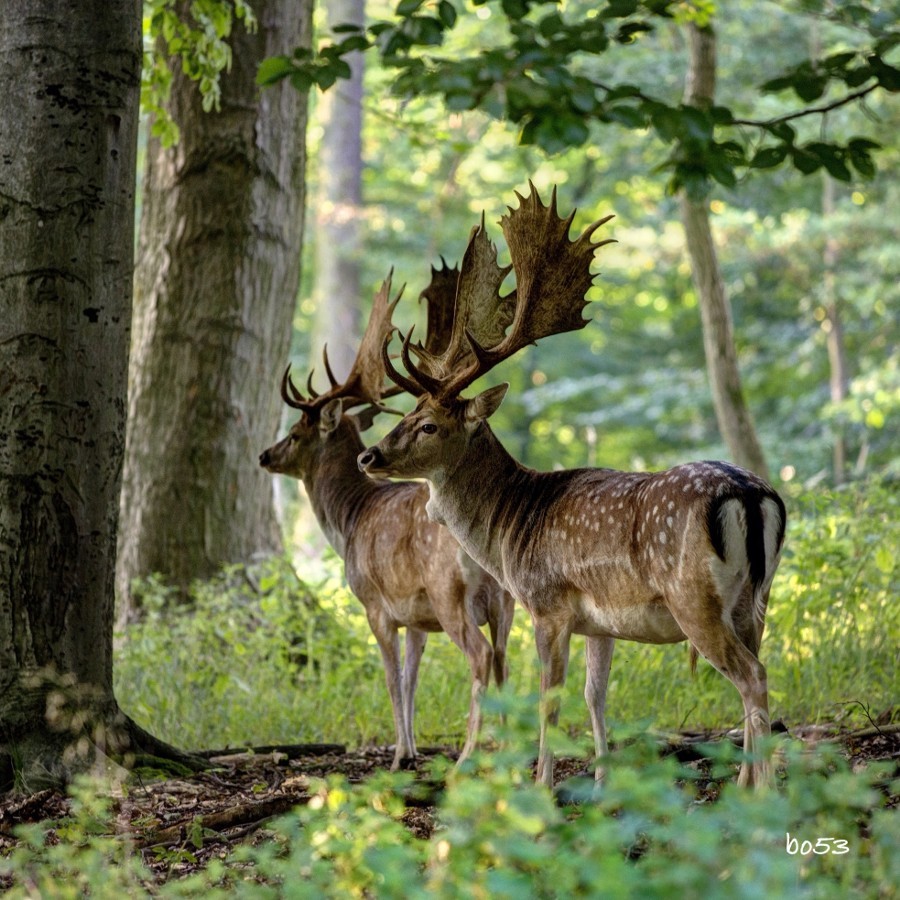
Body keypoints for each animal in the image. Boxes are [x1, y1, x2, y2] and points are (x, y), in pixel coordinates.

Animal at [260, 272, 512, 768]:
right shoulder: (415, 616)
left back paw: (468, 757)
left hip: (449, 591)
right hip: (506, 600)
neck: (350, 518)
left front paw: (398, 756)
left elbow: (392, 679)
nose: (264, 455)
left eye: (295, 434)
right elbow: (412, 678)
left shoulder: (375, 605)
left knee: (480, 657)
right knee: (506, 663)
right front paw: (410, 748)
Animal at [356, 185, 784, 788]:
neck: (509, 527)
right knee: (756, 671)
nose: (368, 455)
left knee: (754, 677)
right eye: (409, 412)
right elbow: (594, 695)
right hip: (757, 599)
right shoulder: (598, 623)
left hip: (694, 598)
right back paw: (743, 785)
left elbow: (549, 701)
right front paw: (603, 782)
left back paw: (759, 792)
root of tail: (750, 494)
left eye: (429, 425)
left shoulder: (548, 603)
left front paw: (541, 784)